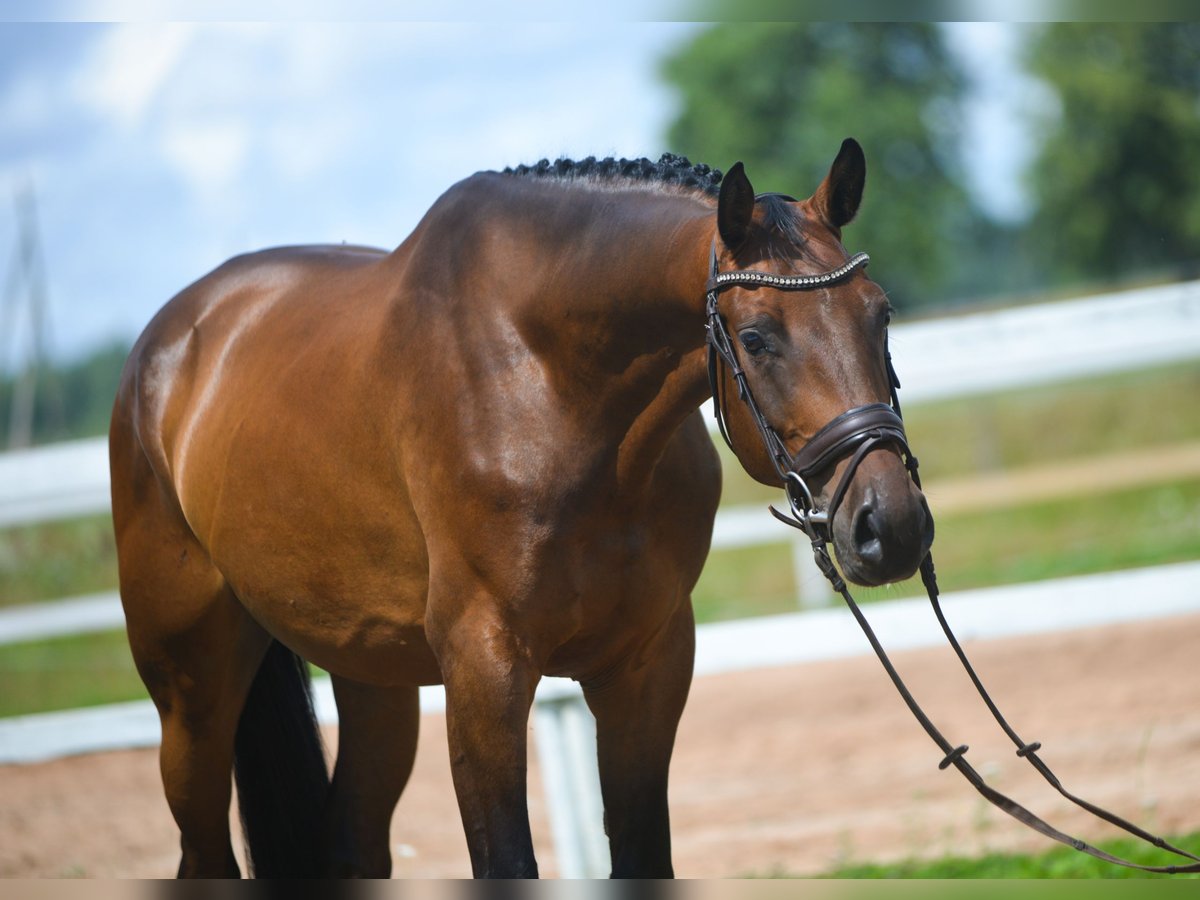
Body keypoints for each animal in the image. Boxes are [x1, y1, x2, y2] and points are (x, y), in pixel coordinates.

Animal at [108, 137, 931, 878]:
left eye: (881, 314)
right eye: (756, 339)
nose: (891, 526)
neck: (554, 388)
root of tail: (167, 348)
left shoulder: (648, 665)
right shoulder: (483, 670)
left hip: (373, 680)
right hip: (191, 696)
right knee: (201, 853)